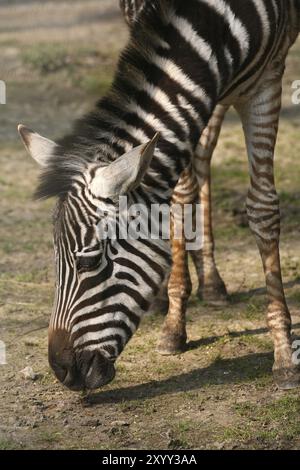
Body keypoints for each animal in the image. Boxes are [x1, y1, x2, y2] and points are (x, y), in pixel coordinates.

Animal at [19, 0, 300, 392]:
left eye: (90, 262)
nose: (62, 371)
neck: (211, 17)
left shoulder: (268, 78)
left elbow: (262, 208)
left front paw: (284, 354)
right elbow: (179, 197)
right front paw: (174, 325)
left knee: (204, 155)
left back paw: (211, 284)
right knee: (197, 164)